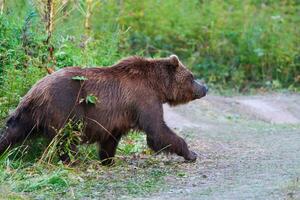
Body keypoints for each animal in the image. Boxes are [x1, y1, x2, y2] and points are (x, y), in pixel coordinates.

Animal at [0, 54, 206, 164]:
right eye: (191, 76)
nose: (204, 88)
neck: (158, 86)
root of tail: (35, 90)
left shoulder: (117, 117)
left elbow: (110, 139)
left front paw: (108, 159)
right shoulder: (144, 99)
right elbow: (157, 130)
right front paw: (191, 153)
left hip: (28, 114)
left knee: (12, 131)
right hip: (66, 105)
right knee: (66, 137)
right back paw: (74, 161)